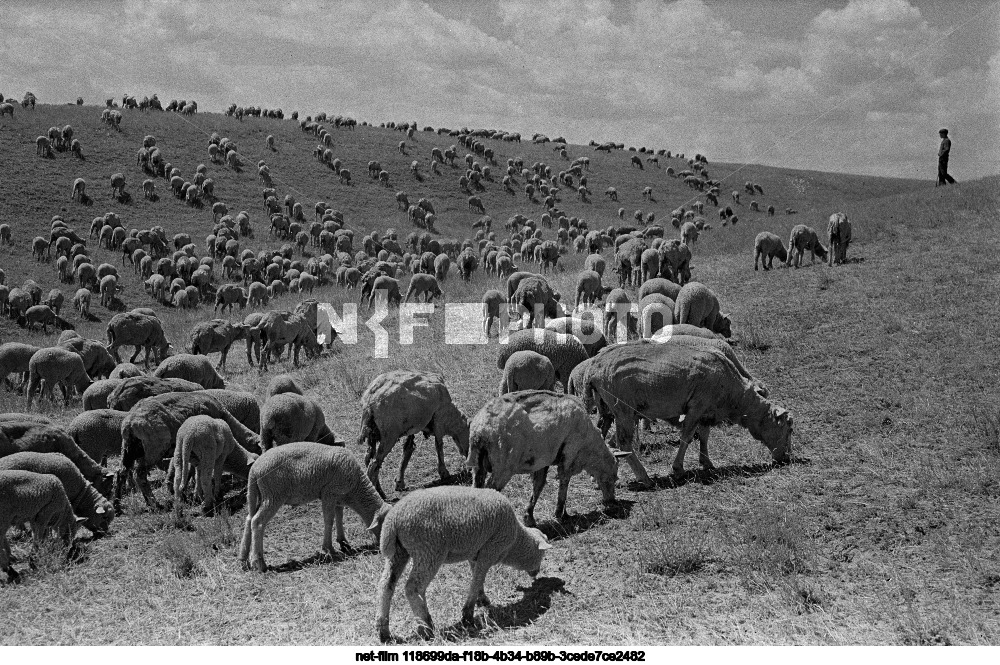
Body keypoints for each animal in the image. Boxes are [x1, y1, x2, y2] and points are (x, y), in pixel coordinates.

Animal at [236, 440, 388, 572]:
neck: (356, 488)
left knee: (249, 519)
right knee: (257, 522)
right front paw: (329, 549)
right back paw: (259, 563)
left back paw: (244, 560)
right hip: (273, 495)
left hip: (260, 494)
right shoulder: (329, 493)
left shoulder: (338, 497)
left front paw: (343, 542)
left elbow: (339, 517)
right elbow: (329, 520)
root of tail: (254, 470)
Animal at [376, 486, 552, 640]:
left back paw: (384, 631)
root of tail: (393, 520)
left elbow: (477, 578)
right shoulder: (490, 550)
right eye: (542, 554)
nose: (536, 574)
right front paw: (467, 615)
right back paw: (427, 626)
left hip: (399, 552)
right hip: (429, 550)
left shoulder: (475, 553)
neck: (515, 541)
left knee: (386, 585)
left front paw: (482, 599)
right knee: (413, 588)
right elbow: (478, 579)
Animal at [466, 392, 616, 528]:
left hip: (478, 465)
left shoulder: (542, 462)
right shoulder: (570, 454)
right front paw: (561, 514)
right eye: (613, 478)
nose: (611, 501)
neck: (589, 446)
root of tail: (481, 428)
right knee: (490, 490)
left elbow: (539, 485)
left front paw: (529, 517)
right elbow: (564, 482)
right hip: (503, 468)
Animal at [584, 340, 792, 480]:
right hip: (623, 409)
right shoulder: (696, 406)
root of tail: (593, 369)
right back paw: (644, 477)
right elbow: (687, 437)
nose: (786, 459)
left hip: (608, 410)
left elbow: (704, 436)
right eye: (788, 428)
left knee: (601, 433)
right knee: (624, 443)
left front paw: (706, 462)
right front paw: (678, 469)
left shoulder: (706, 410)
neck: (735, 396)